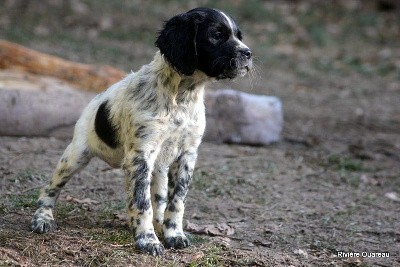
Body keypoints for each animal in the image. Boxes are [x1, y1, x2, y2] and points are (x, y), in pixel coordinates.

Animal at [31, 7, 252, 256]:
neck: (181, 96)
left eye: (239, 36)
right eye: (216, 35)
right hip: (76, 155)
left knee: (158, 200)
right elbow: (141, 202)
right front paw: (147, 240)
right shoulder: (141, 155)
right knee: (49, 188)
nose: (248, 54)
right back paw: (43, 218)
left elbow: (176, 201)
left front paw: (173, 234)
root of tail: (96, 98)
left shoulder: (187, 154)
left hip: (158, 170)